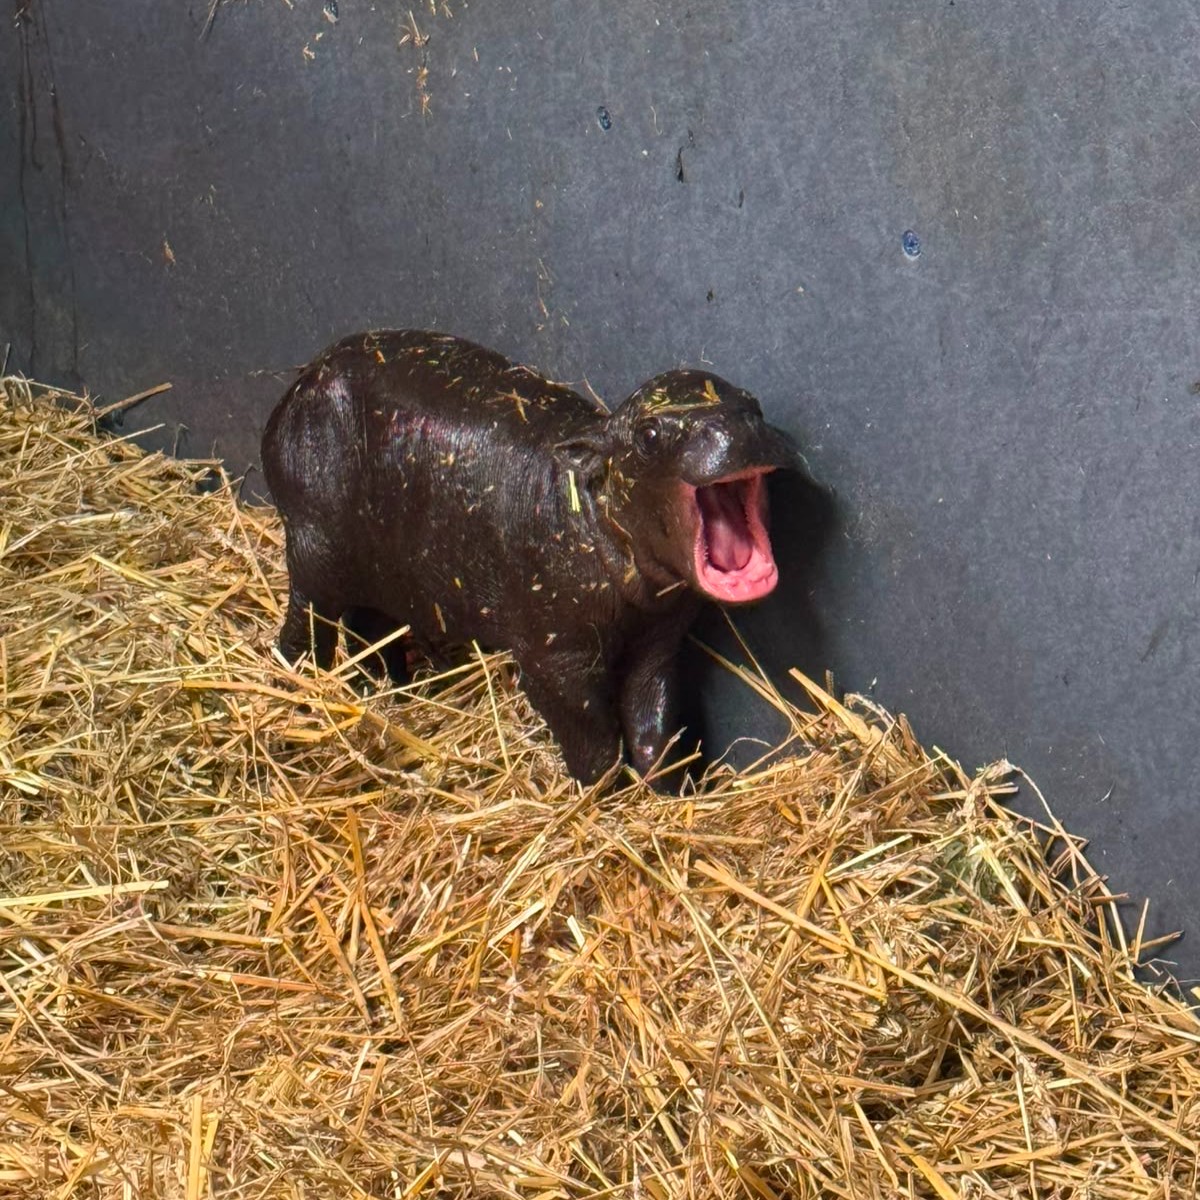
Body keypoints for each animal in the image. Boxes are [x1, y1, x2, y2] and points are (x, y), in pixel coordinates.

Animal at [261, 329, 797, 787]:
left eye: (752, 405)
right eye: (648, 436)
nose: (736, 428)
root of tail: (297, 385)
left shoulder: (659, 639)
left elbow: (655, 722)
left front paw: (666, 794)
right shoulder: (554, 657)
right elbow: (593, 737)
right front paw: (602, 801)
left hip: (383, 573)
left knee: (370, 629)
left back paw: (389, 691)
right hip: (315, 549)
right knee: (305, 622)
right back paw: (302, 686)